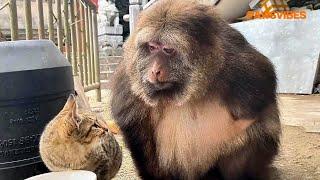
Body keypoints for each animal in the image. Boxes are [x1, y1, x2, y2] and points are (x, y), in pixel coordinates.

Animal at [111, 0, 282, 179]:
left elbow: (263, 96)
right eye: (152, 47)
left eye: (168, 50)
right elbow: (134, 124)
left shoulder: (238, 63)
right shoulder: (128, 77)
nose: (155, 70)